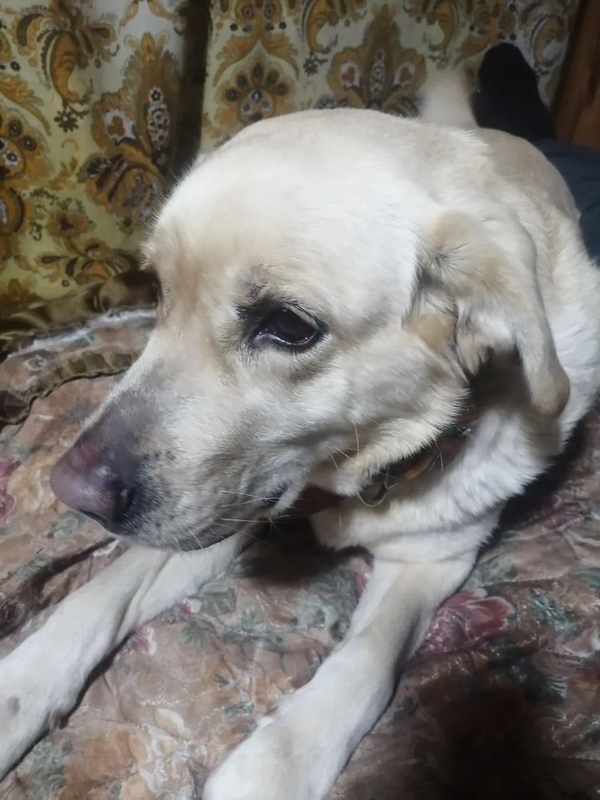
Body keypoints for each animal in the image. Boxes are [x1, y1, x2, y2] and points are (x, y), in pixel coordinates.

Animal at [1, 73, 599, 799]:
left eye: (287, 326)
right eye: (161, 292)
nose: (72, 492)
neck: (358, 473)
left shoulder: (432, 560)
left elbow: (366, 660)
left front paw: (270, 769)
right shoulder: (221, 512)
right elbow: (100, 594)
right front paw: (20, 687)